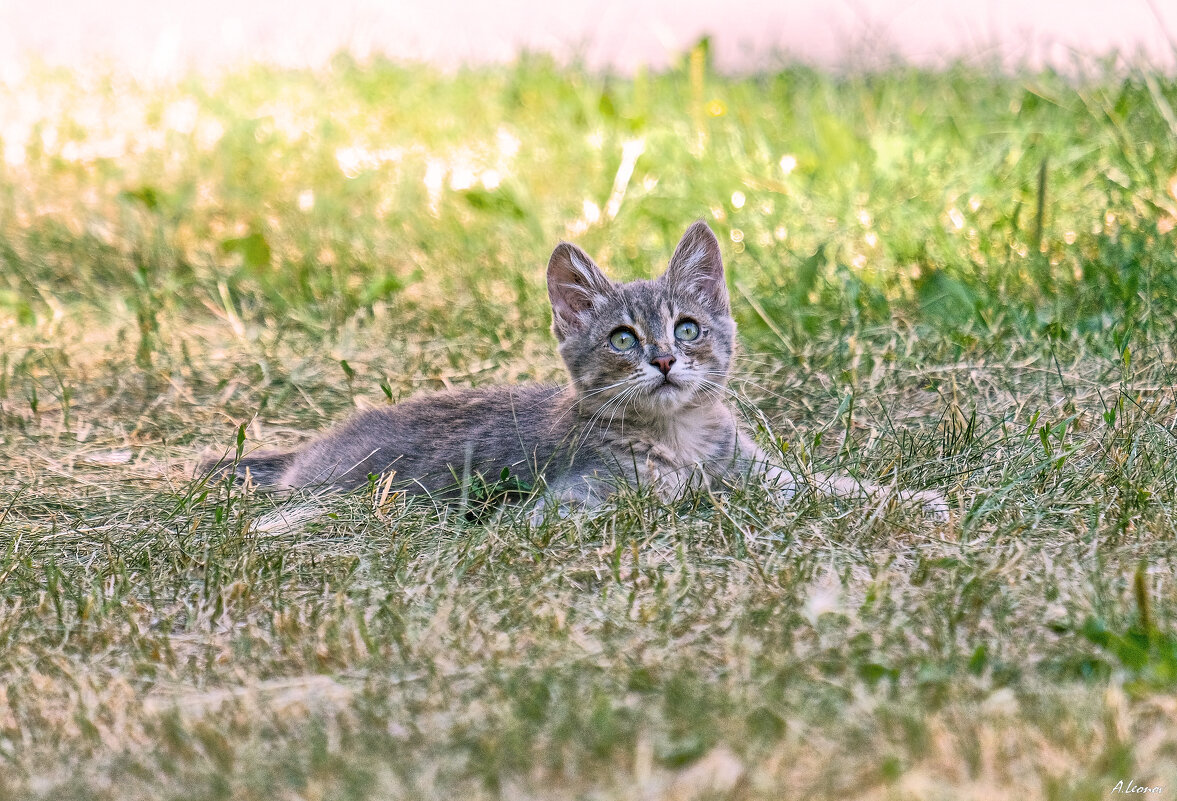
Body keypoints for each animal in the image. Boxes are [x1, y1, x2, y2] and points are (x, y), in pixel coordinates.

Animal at [204, 219, 946, 517]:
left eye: (687, 328)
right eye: (622, 338)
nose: (664, 358)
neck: (681, 436)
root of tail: (313, 447)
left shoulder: (758, 468)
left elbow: (820, 482)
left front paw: (908, 498)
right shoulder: (582, 498)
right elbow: (683, 497)